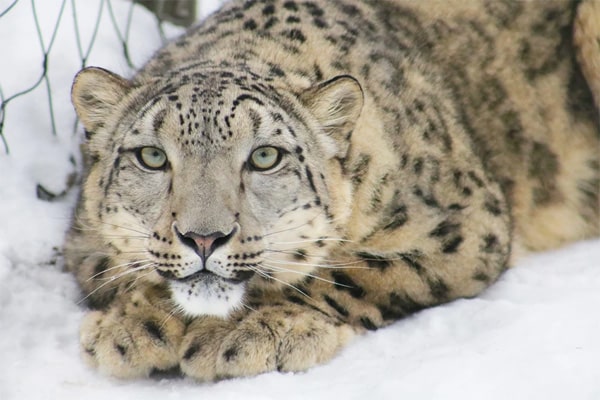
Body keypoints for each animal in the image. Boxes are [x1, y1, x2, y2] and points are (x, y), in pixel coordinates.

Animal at [63, 0, 596, 380]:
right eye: (152, 157)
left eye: (265, 156)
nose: (204, 237)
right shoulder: (82, 243)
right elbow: (118, 273)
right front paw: (132, 328)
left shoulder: (463, 224)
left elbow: (352, 274)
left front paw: (247, 334)